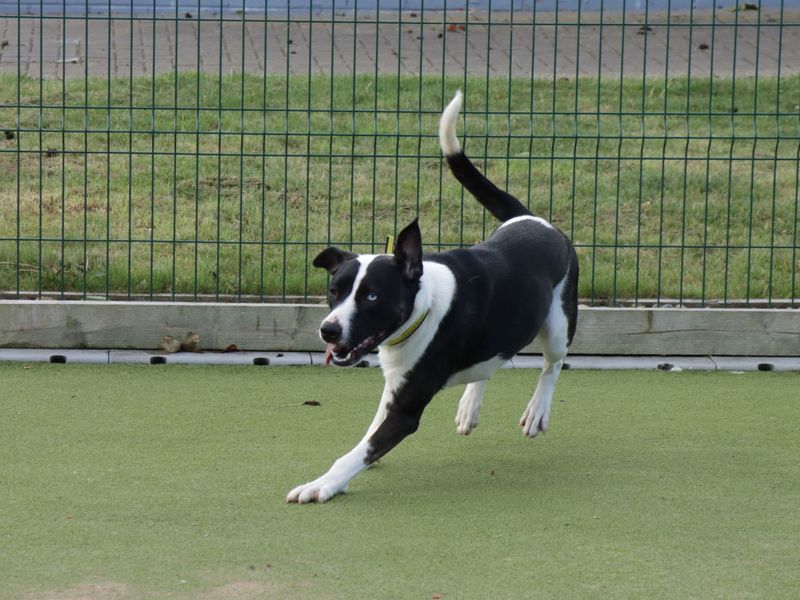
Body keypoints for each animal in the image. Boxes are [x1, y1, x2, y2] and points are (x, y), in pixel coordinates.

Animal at [284, 91, 580, 504]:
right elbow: (370, 433)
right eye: (333, 291)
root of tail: (533, 219)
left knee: (552, 364)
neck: (422, 309)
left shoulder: (406, 408)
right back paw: (470, 404)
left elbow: (363, 449)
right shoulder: (395, 385)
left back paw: (537, 410)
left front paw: (322, 484)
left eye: (371, 296)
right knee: (492, 358)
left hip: (557, 322)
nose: (328, 330)